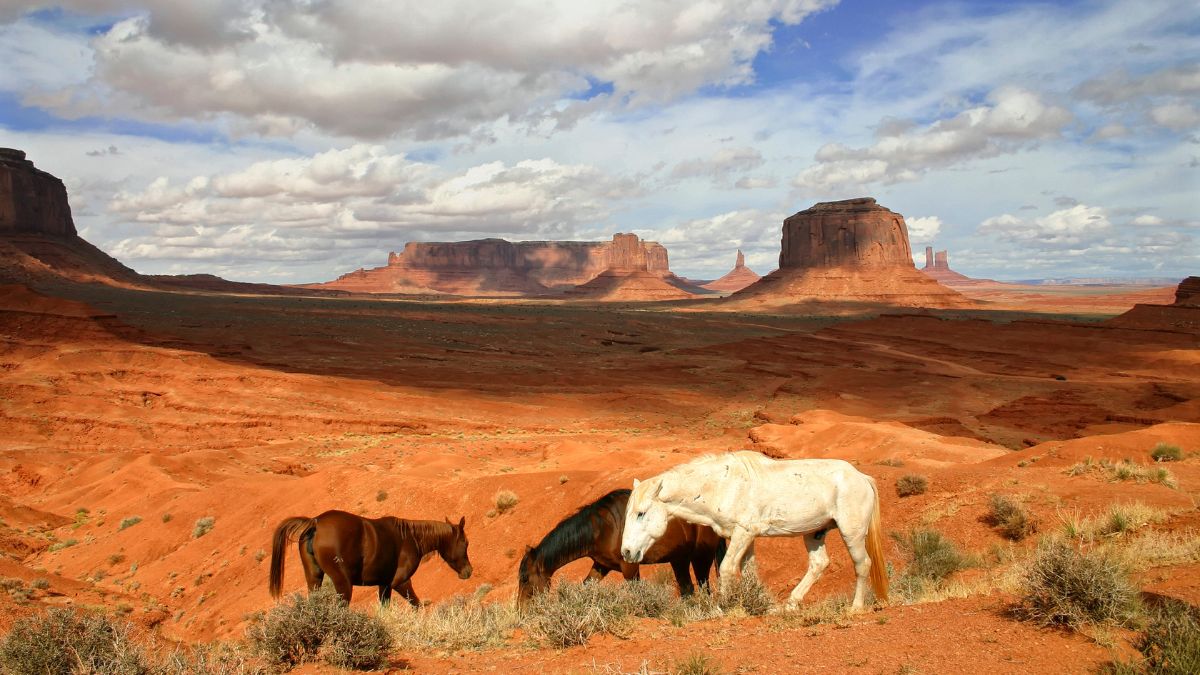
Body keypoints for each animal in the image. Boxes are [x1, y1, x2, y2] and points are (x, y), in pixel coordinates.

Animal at [272, 506, 472, 600]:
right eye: (466, 543)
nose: (468, 571)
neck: (410, 537)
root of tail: (316, 522)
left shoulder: (384, 585)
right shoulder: (401, 583)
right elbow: (416, 605)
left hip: (314, 578)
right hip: (343, 583)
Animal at [516, 485, 720, 600]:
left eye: (525, 578)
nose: (521, 612)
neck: (603, 528)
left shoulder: (629, 566)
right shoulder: (601, 565)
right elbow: (586, 587)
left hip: (701, 557)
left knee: (703, 586)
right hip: (679, 560)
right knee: (688, 588)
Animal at [624, 449, 888, 607]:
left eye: (641, 513)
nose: (626, 552)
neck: (723, 485)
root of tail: (862, 477)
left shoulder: (743, 533)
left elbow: (727, 568)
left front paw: (722, 607)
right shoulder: (746, 537)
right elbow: (749, 571)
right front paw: (762, 603)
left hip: (852, 533)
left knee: (862, 564)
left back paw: (855, 608)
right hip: (814, 534)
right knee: (819, 564)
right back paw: (790, 604)